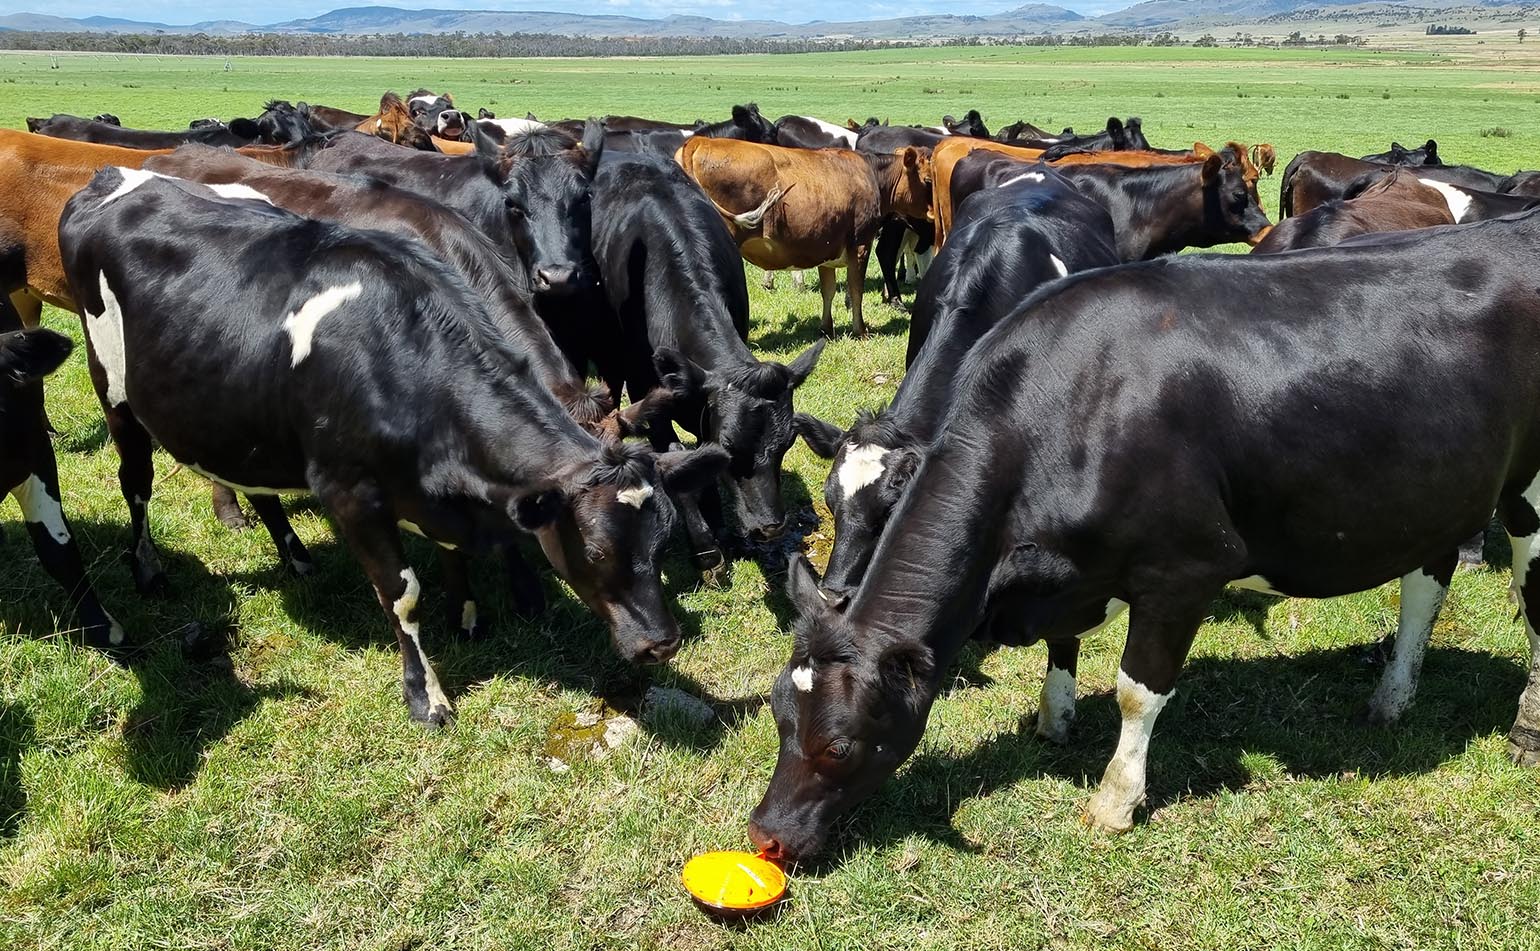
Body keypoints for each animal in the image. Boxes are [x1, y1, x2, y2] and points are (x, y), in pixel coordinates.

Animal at [680, 136, 930, 337]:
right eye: (928, 180)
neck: (871, 176)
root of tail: (701, 141)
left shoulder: (827, 247)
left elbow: (828, 291)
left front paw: (826, 329)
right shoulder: (860, 244)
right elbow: (856, 290)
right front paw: (861, 331)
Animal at [751, 209, 1540, 861]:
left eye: (840, 744)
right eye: (780, 714)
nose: (765, 833)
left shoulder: (1184, 570)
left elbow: (1138, 689)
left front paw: (1114, 799)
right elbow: (1064, 643)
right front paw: (1056, 719)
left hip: (1529, 490)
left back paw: (1527, 728)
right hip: (1437, 488)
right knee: (1426, 581)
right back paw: (1392, 696)